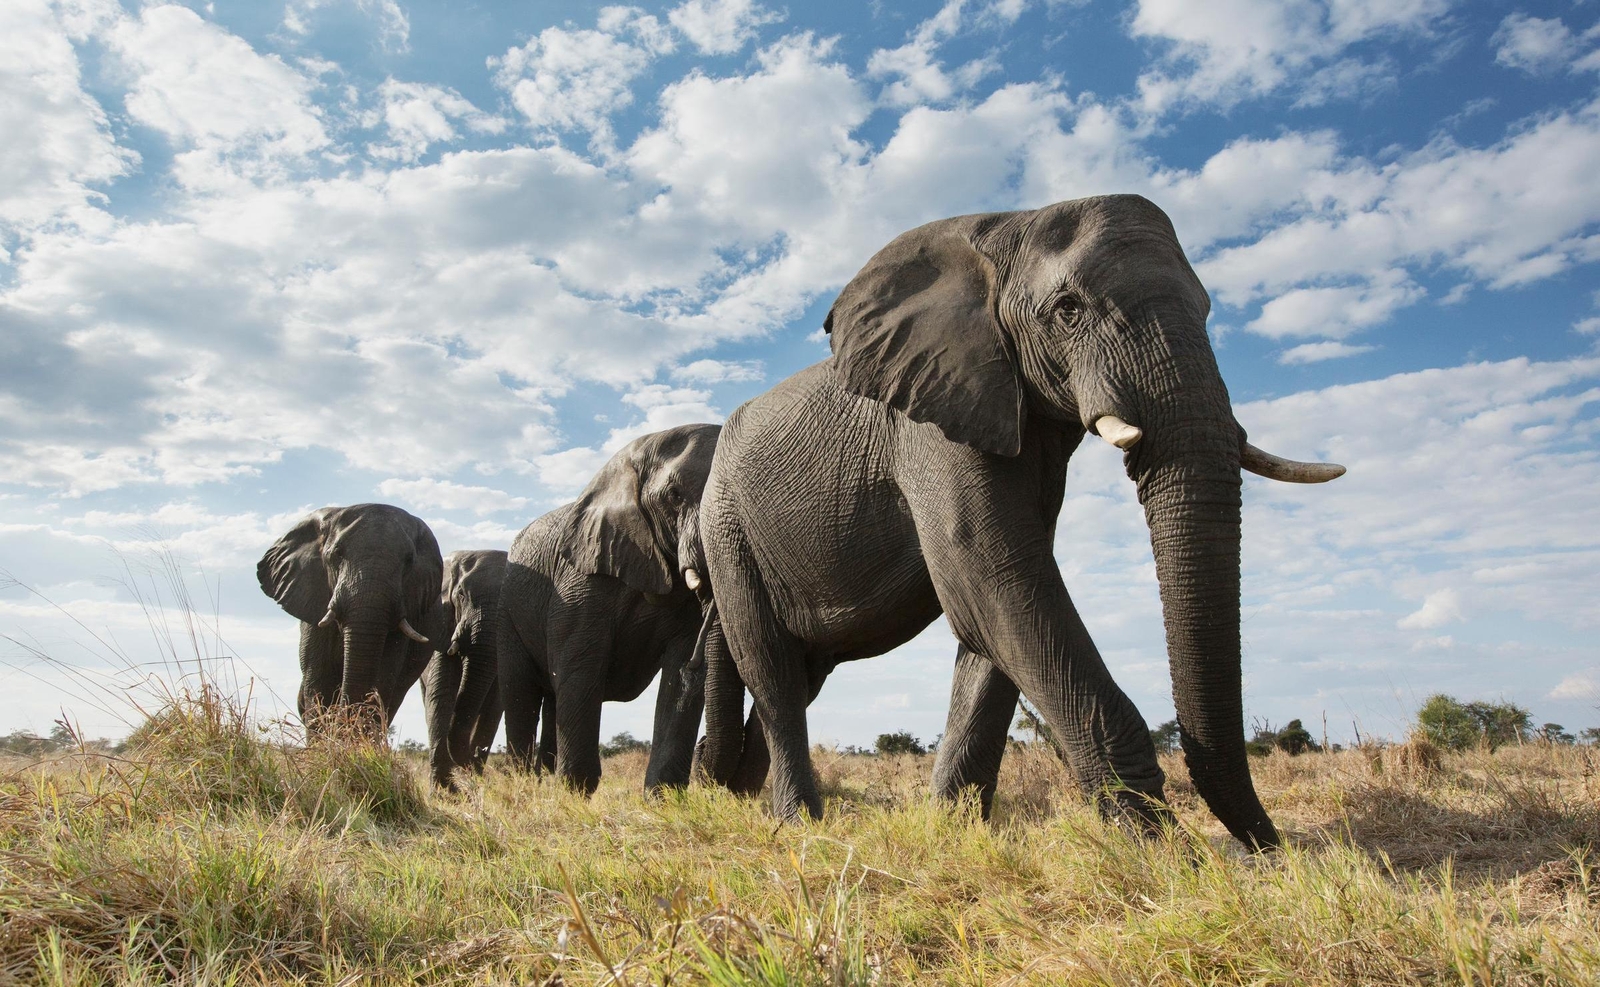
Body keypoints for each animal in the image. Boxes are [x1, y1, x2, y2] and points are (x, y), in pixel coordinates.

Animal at [418, 549, 509, 789]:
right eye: (461, 596)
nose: (475, 753)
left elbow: (493, 707)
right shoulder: (445, 623)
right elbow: (441, 694)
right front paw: (445, 791)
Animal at [497, 422, 721, 794]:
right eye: (674, 495)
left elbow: (677, 679)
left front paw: (662, 798)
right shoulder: (581, 580)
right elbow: (581, 668)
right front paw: (574, 795)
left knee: (553, 698)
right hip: (507, 611)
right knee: (520, 691)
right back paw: (523, 784)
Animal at [695, 195, 1343, 850]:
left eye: (1209, 309)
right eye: (1068, 310)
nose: (1265, 850)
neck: (1007, 227)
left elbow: (995, 615)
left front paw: (953, 834)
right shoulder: (931, 423)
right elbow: (994, 578)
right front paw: (1157, 850)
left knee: (805, 672)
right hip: (728, 528)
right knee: (773, 671)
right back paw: (796, 826)